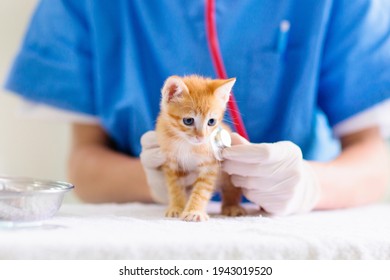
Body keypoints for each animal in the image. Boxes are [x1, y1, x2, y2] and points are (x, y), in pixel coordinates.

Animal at [156, 75, 245, 222]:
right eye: (188, 121)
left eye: (211, 121)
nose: (201, 137)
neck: (186, 144)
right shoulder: (171, 163)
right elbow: (175, 187)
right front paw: (177, 207)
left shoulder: (210, 164)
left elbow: (202, 189)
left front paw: (194, 211)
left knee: (231, 189)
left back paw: (231, 206)